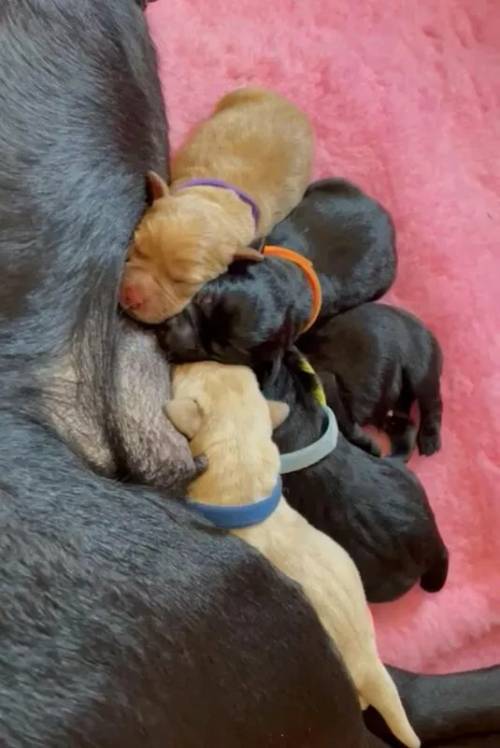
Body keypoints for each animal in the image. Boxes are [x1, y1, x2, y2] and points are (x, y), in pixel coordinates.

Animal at [302, 302, 444, 456]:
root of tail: (427, 331)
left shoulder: (329, 385)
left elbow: (347, 427)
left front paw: (369, 446)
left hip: (421, 373)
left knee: (433, 404)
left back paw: (429, 440)